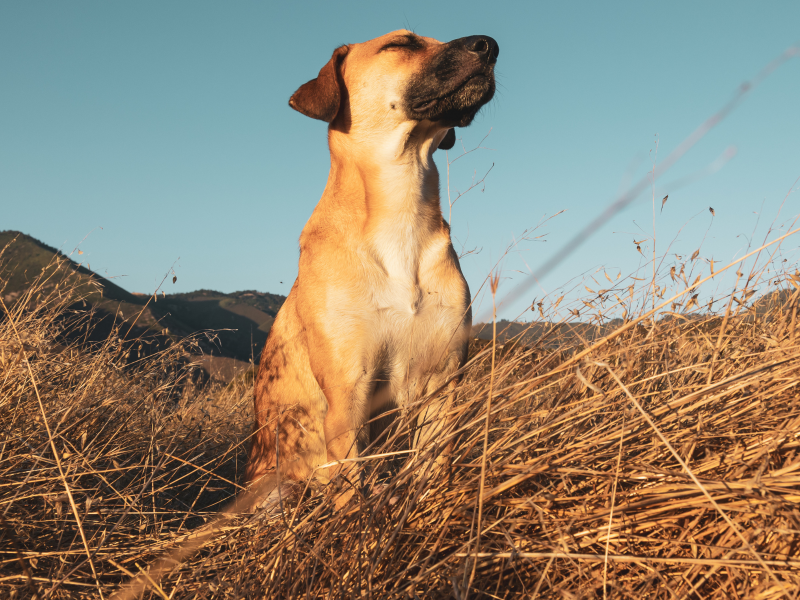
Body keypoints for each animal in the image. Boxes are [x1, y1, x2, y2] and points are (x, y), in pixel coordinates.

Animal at [244, 30, 496, 504]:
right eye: (401, 43)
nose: (489, 45)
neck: (401, 205)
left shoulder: (442, 383)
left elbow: (434, 471)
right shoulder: (348, 393)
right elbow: (351, 493)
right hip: (276, 489)